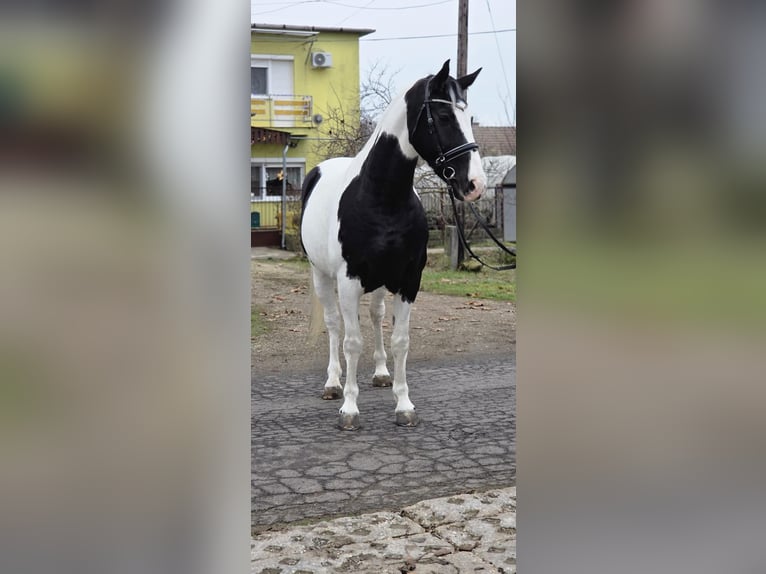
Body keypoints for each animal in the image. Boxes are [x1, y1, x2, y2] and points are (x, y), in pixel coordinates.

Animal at [300, 60, 486, 430]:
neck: (381, 198)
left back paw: (382, 374)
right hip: (322, 276)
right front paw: (349, 409)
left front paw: (403, 404)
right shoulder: (349, 280)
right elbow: (352, 342)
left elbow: (400, 340)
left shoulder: (409, 279)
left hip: (380, 283)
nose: (475, 184)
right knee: (333, 324)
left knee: (375, 316)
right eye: (444, 117)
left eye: (468, 115)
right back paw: (332, 383)